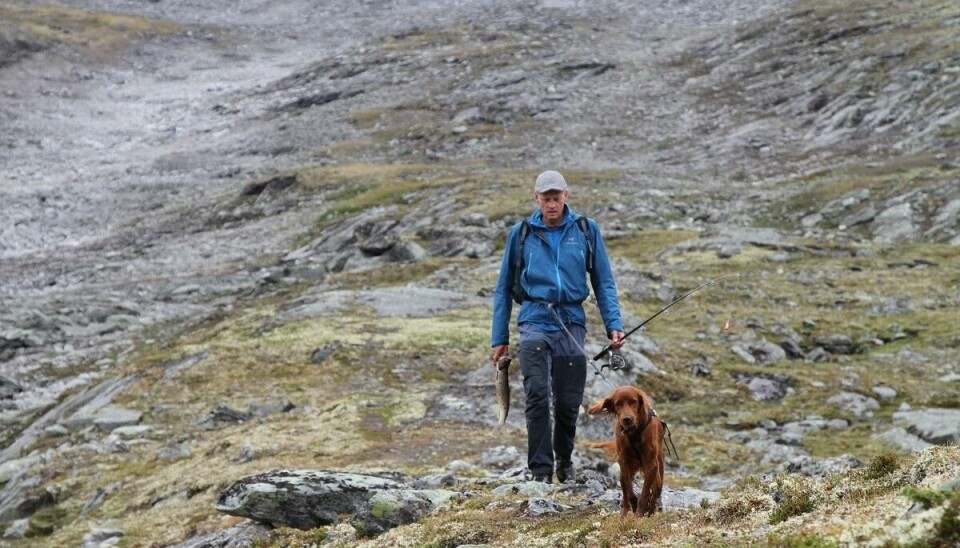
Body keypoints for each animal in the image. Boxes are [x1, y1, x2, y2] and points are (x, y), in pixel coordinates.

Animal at [588, 386, 664, 520]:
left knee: (656, 490)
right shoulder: (623, 461)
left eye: (633, 401)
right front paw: (634, 506)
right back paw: (623, 516)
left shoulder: (651, 464)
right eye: (618, 404)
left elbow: (645, 493)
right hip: (623, 474)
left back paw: (650, 510)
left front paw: (640, 514)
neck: (634, 430)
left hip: (658, 470)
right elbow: (629, 490)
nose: (627, 419)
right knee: (625, 494)